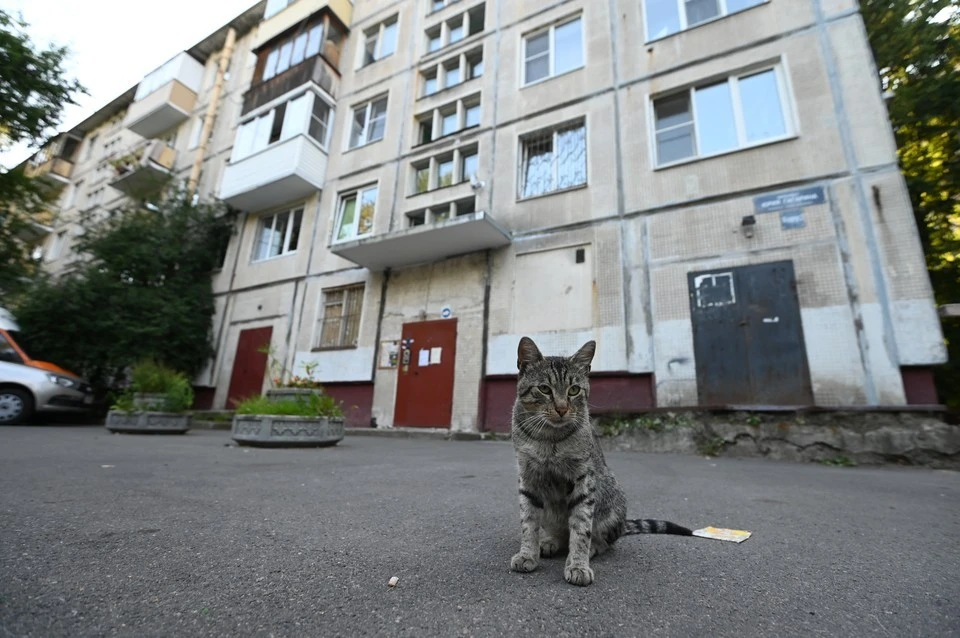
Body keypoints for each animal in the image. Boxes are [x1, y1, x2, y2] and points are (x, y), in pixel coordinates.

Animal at [510, 338, 688, 588]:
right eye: (544, 389)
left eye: (574, 390)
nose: (562, 409)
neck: (548, 438)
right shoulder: (527, 476)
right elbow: (528, 521)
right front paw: (528, 554)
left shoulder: (584, 478)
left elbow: (581, 527)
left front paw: (578, 565)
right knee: (560, 532)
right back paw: (549, 541)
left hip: (612, 500)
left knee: (603, 541)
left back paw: (589, 548)